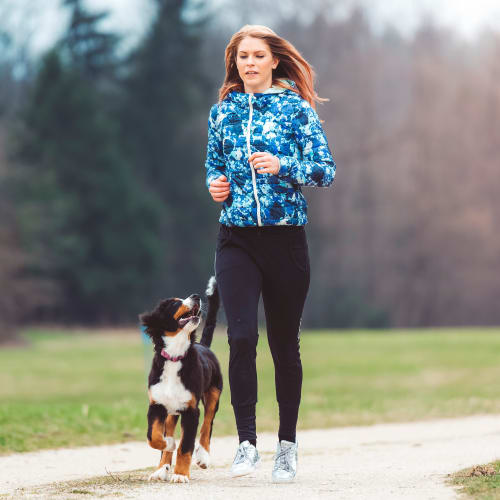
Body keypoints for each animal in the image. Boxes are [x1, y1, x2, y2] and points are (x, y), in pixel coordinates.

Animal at [138, 276, 222, 482]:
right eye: (174, 303)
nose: (196, 296)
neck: (175, 356)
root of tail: (203, 346)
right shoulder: (157, 405)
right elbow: (153, 437)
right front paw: (169, 444)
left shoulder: (191, 410)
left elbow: (185, 446)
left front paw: (181, 474)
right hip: (171, 411)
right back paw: (161, 469)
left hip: (214, 393)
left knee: (208, 424)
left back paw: (203, 456)